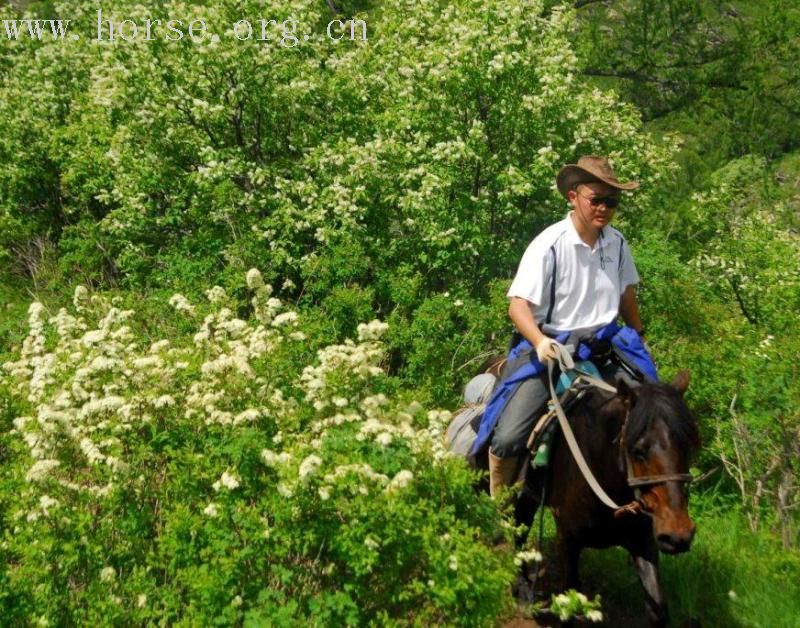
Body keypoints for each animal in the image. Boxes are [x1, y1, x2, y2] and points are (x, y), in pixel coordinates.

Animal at [478, 370, 696, 624]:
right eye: (638, 451)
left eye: (687, 446)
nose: (678, 535)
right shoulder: (568, 541)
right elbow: (569, 604)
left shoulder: (644, 542)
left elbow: (658, 608)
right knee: (518, 533)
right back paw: (522, 591)